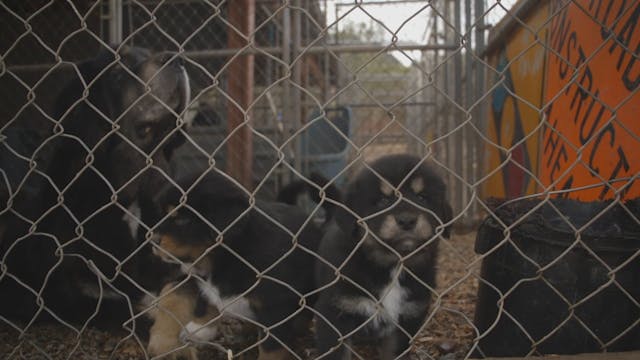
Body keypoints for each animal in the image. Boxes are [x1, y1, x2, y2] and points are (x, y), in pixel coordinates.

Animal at [149, 169, 320, 360]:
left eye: (183, 220)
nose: (152, 240)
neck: (225, 257)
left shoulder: (275, 304)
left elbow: (271, 347)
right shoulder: (197, 276)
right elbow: (181, 293)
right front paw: (198, 329)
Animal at [312, 154, 452, 360]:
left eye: (422, 198)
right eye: (383, 200)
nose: (407, 220)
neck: (392, 264)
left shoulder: (407, 317)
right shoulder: (336, 313)